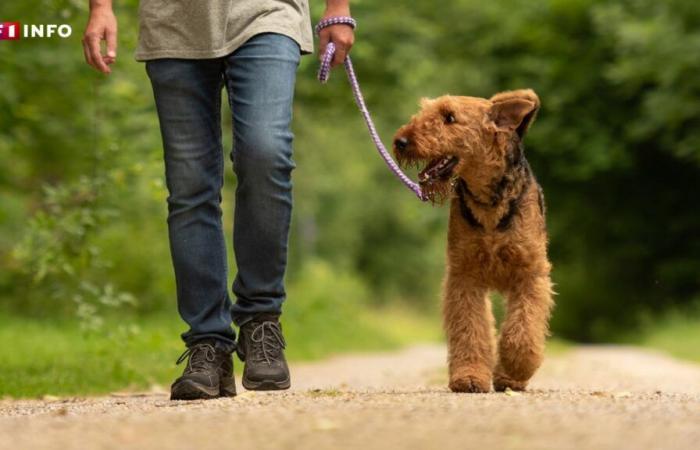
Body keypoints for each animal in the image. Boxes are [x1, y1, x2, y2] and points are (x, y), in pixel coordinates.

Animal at [394, 89, 552, 392]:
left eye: (449, 117)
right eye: (425, 111)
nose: (400, 141)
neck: (488, 203)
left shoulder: (530, 273)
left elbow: (522, 330)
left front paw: (514, 368)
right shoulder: (464, 275)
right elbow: (470, 329)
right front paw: (468, 377)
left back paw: (508, 376)